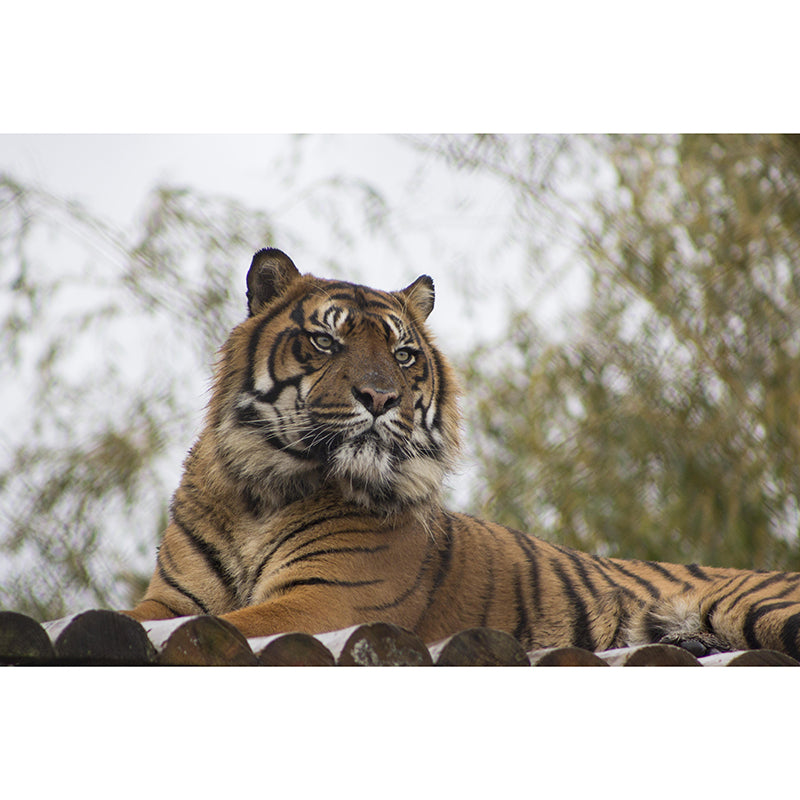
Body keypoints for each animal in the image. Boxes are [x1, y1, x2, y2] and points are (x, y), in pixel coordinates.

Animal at [124, 247, 800, 659]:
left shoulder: (328, 597)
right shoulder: (173, 600)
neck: (262, 491)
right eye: (325, 342)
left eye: (403, 355)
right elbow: (141, 615)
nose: (380, 397)